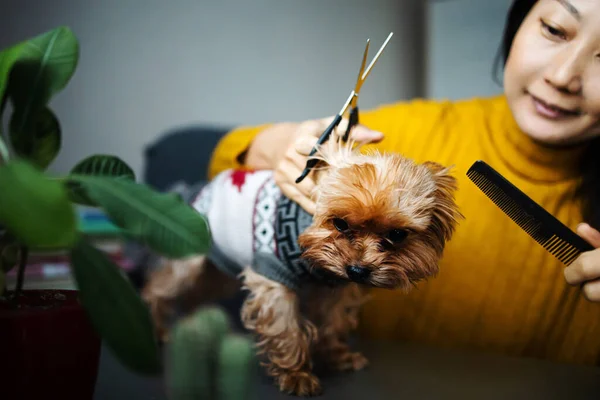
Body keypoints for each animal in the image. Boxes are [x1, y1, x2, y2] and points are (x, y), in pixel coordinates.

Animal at [143, 139, 462, 396]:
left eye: (397, 235)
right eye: (340, 223)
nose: (357, 271)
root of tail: (198, 189)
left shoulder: (337, 287)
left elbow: (334, 321)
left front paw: (337, 356)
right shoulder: (273, 279)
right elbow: (286, 329)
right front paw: (295, 375)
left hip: (218, 267)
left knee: (198, 293)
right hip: (188, 252)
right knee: (160, 288)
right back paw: (157, 328)